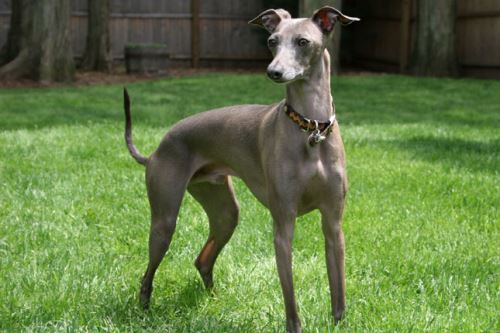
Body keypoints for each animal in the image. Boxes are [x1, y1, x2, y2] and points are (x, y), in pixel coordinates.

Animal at [125, 5, 360, 332]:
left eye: (303, 42)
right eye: (272, 41)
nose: (273, 72)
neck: (311, 129)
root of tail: (157, 149)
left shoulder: (333, 222)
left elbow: (338, 291)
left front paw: (339, 322)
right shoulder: (283, 224)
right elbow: (290, 298)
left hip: (225, 211)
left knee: (203, 259)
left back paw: (213, 301)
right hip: (165, 219)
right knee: (148, 272)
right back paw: (145, 310)